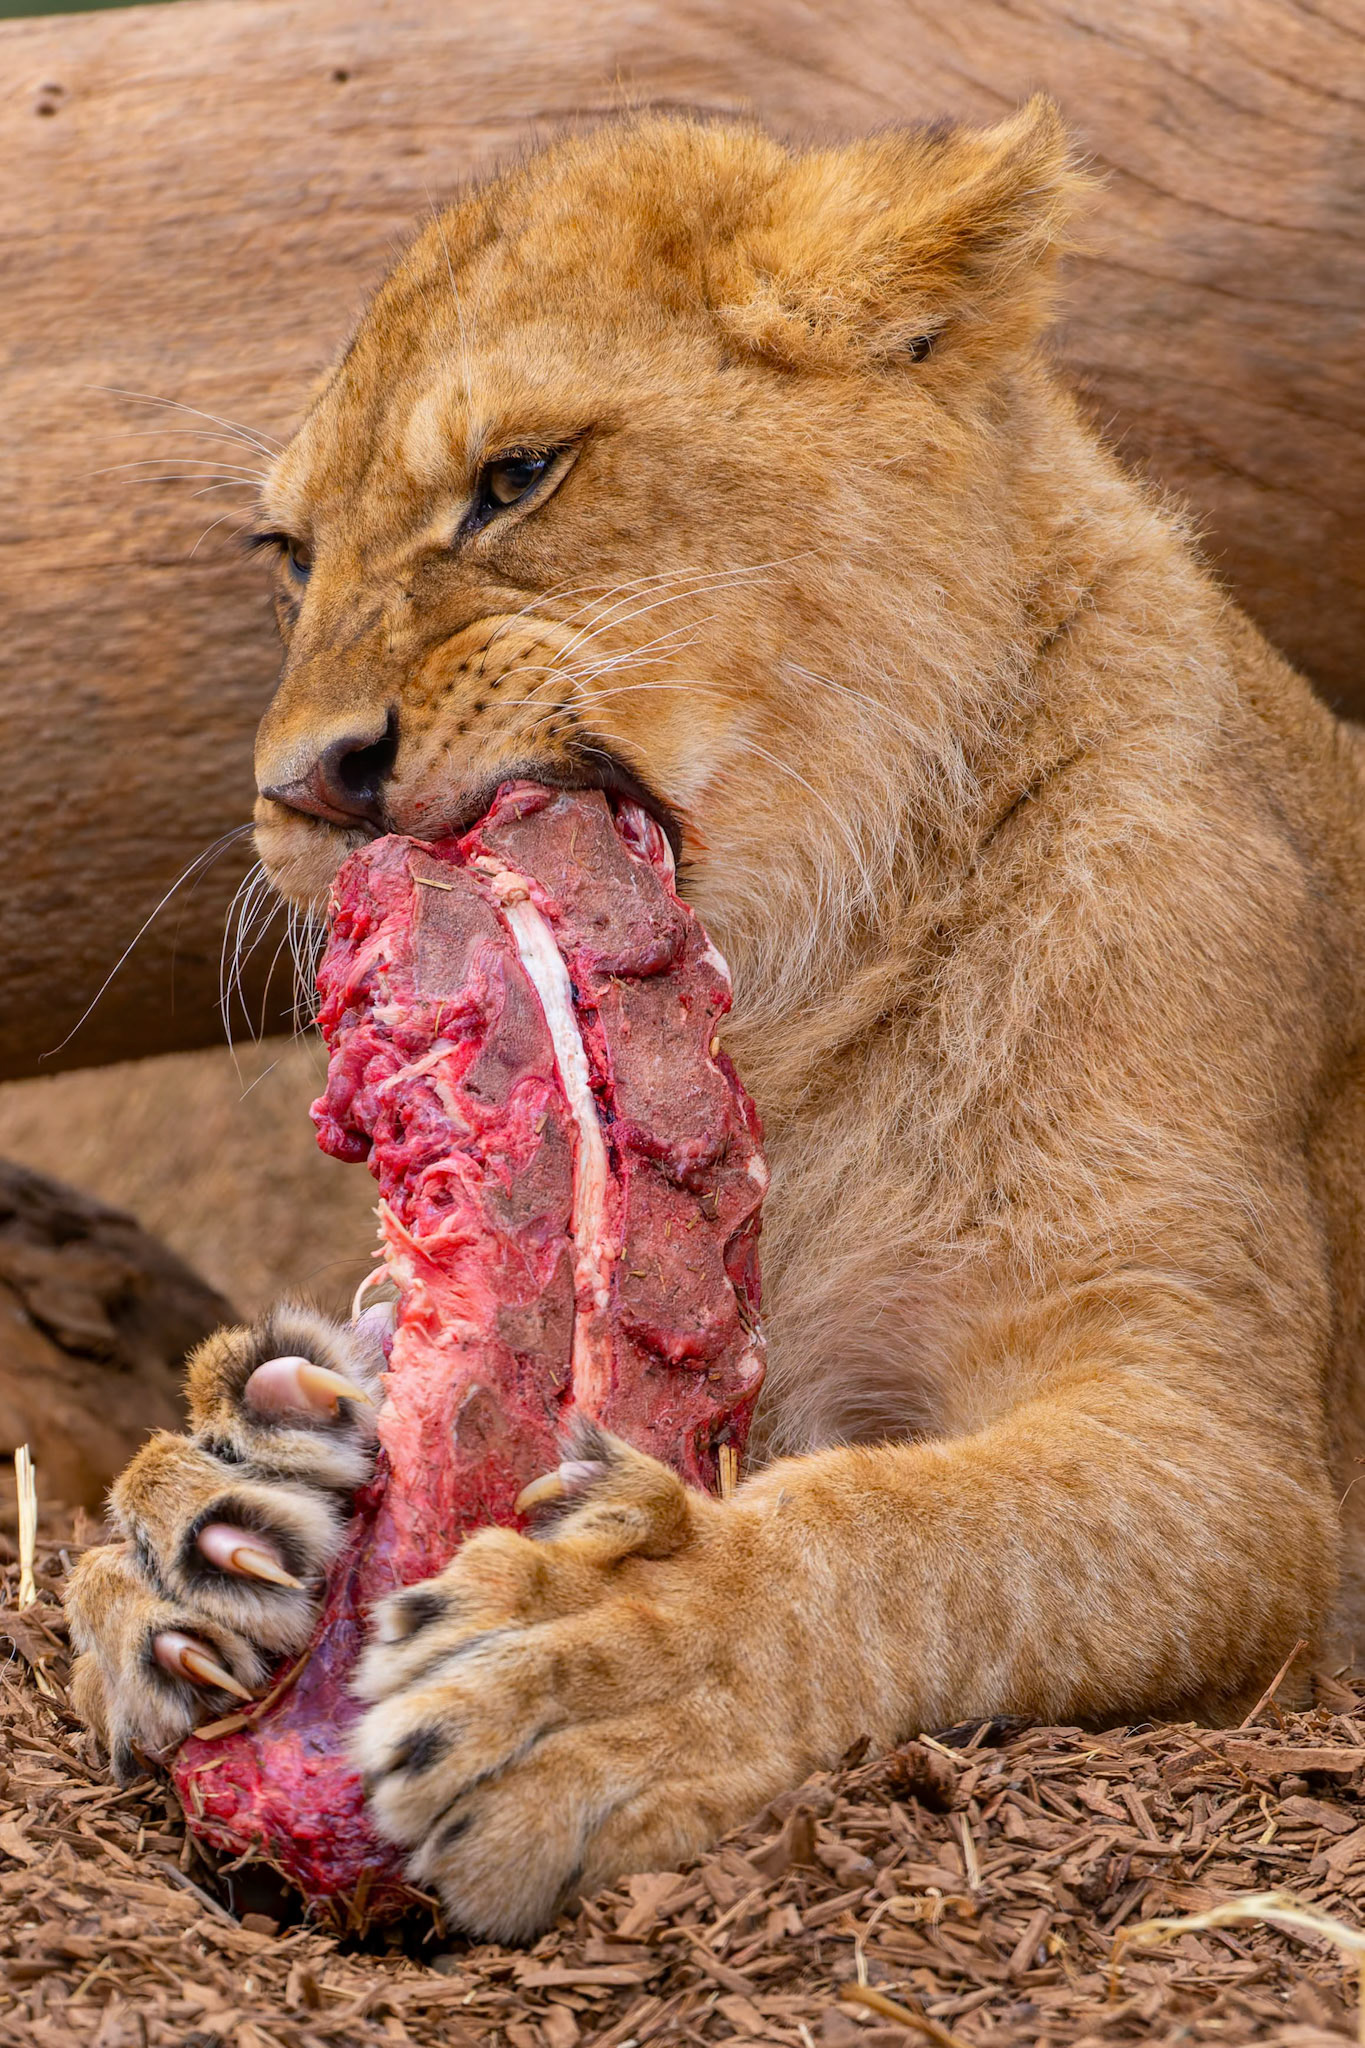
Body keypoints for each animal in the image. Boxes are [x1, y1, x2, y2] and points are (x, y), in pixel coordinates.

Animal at [65, 100, 1365, 1940]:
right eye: (291, 555)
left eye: (518, 476)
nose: (301, 788)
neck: (794, 1020)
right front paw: (205, 1509)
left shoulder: (1229, 1455)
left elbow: (927, 1534)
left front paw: (601, 1662)